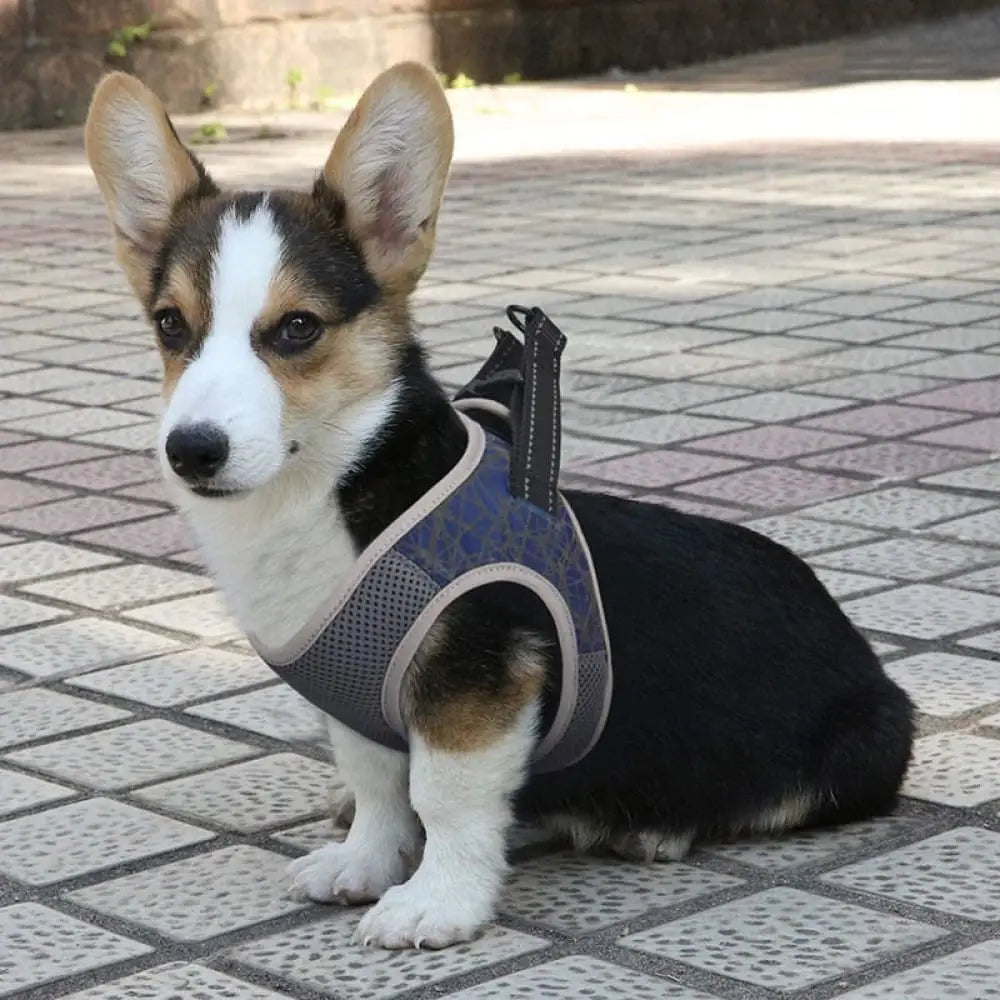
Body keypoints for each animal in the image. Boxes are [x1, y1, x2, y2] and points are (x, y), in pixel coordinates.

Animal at [84, 61, 915, 950]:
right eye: (171, 326)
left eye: (298, 328)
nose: (191, 449)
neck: (335, 497)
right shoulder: (356, 697)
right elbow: (377, 785)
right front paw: (365, 860)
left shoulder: (478, 684)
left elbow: (444, 796)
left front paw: (438, 900)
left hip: (855, 746)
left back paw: (646, 827)